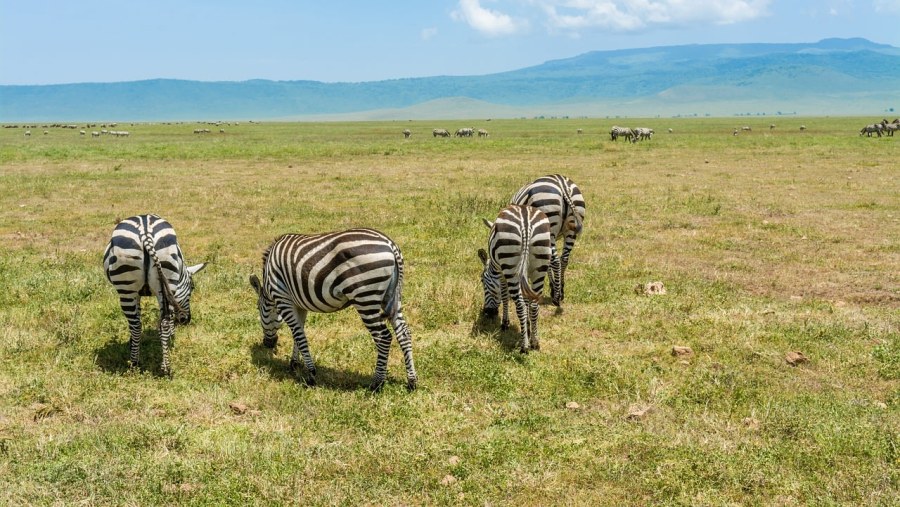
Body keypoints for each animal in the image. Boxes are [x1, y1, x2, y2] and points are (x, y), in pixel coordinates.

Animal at [103, 212, 207, 376]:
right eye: (192, 287)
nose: (186, 320)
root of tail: (146, 233)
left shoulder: (138, 294)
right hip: (163, 279)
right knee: (161, 323)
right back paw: (165, 367)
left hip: (128, 288)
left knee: (136, 325)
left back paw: (134, 363)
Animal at [246, 228, 414, 390]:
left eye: (258, 308)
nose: (268, 344)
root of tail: (390, 245)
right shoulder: (298, 304)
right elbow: (298, 333)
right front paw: (295, 363)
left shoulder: (282, 298)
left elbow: (299, 335)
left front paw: (311, 375)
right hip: (392, 297)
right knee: (403, 333)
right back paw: (411, 382)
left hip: (365, 297)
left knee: (383, 337)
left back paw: (377, 383)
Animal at [478, 204, 556, 352]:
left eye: (482, 281)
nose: (487, 312)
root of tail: (526, 222)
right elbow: (526, 298)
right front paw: (527, 327)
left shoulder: (501, 272)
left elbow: (504, 295)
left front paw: (505, 323)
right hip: (540, 264)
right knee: (534, 304)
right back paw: (534, 342)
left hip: (510, 264)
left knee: (520, 305)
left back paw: (524, 346)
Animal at [510, 175, 588, 310]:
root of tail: (562, 184)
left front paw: (553, 288)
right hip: (572, 229)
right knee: (564, 259)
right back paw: (561, 291)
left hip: (549, 223)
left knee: (555, 261)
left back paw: (556, 297)